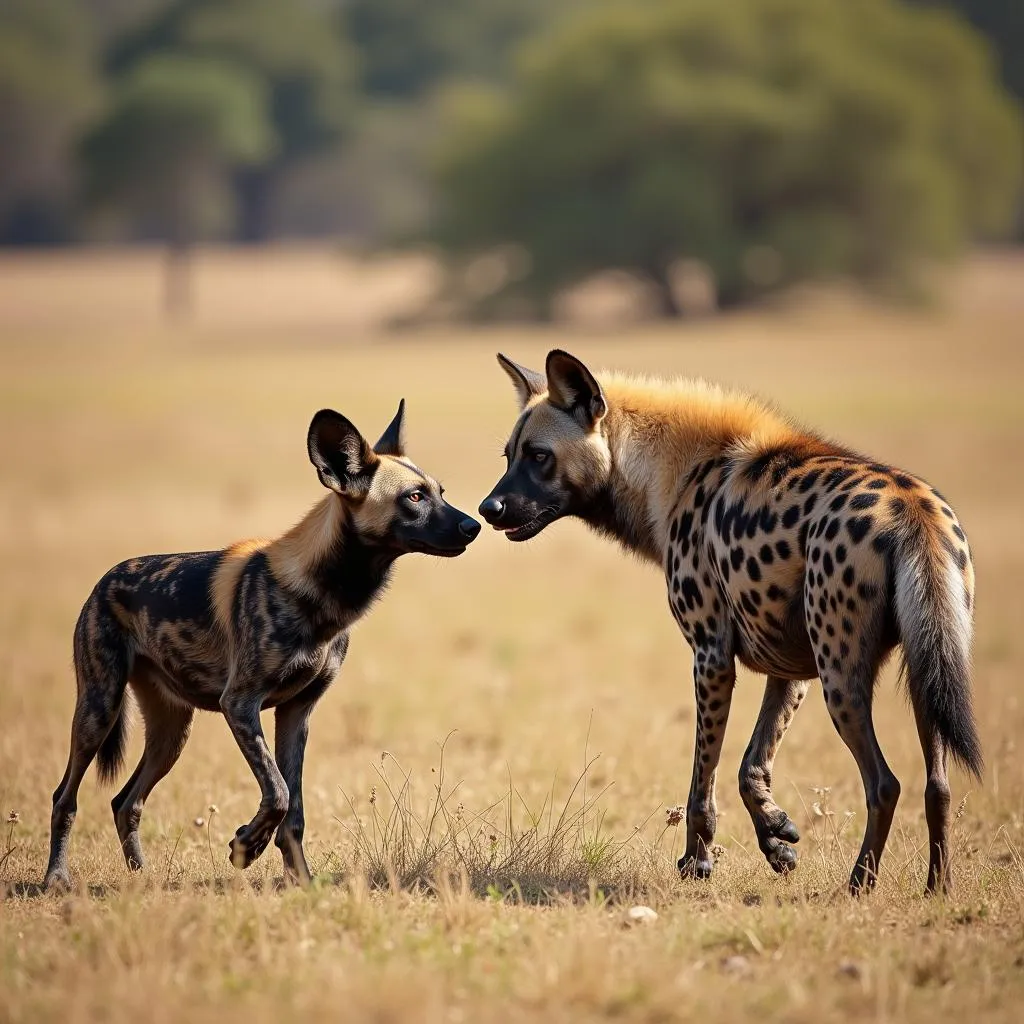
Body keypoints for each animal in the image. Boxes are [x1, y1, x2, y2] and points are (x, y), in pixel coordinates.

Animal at [44, 399, 479, 888]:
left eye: (440, 491)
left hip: (171, 733)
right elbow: (279, 792)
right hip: (97, 713)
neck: (319, 592)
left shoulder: (296, 714)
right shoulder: (240, 704)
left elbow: (294, 810)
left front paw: (301, 883)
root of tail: (105, 580)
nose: (475, 524)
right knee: (65, 797)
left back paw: (143, 879)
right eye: (415, 498)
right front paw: (246, 846)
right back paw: (56, 878)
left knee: (126, 802)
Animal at [483, 352, 978, 897]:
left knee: (884, 782)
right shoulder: (790, 670)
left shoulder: (712, 656)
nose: (488, 508)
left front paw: (698, 863)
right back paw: (938, 889)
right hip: (926, 674)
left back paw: (858, 886)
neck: (669, 472)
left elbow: (703, 782)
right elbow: (751, 767)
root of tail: (912, 511)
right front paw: (778, 841)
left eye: (539, 456)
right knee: (939, 784)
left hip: (843, 682)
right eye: (508, 456)